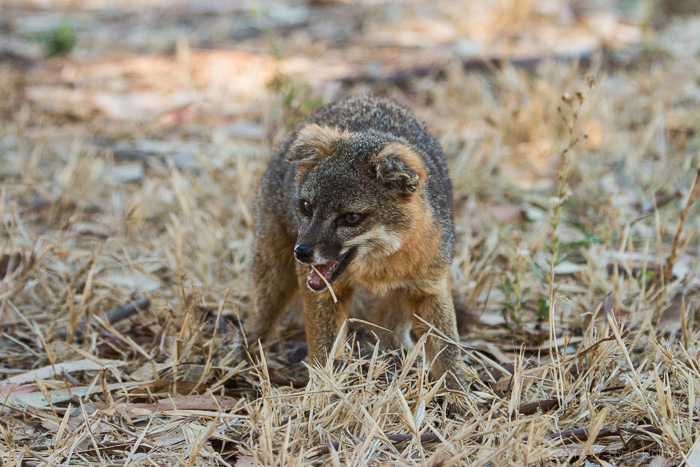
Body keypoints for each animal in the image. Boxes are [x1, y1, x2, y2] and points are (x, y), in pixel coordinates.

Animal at [249, 94, 468, 392]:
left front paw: (462, 396)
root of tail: (362, 97)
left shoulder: (430, 286)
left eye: (351, 218)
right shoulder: (321, 292)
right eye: (306, 206)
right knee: (259, 319)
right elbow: (324, 350)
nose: (302, 252)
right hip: (272, 276)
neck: (378, 271)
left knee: (390, 335)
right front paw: (324, 390)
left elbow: (448, 350)